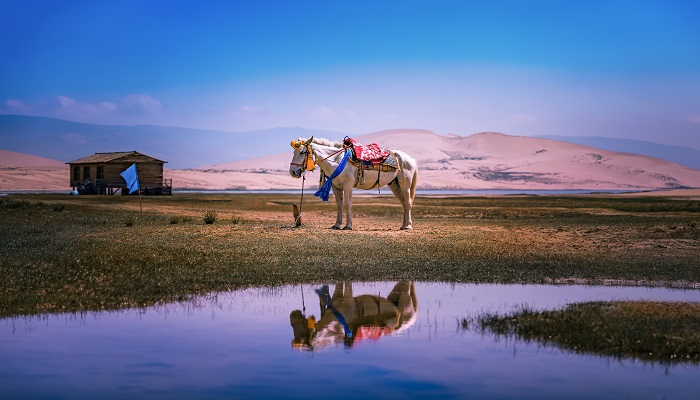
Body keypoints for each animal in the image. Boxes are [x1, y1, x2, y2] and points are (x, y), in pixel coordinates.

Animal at [289, 136, 418, 230]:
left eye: (302, 152)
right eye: (293, 152)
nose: (292, 172)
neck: (337, 160)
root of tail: (411, 159)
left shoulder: (348, 186)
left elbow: (348, 204)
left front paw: (348, 226)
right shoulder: (336, 187)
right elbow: (339, 205)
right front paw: (337, 225)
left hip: (405, 185)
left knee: (408, 202)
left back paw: (408, 226)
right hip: (395, 185)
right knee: (403, 203)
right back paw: (403, 225)